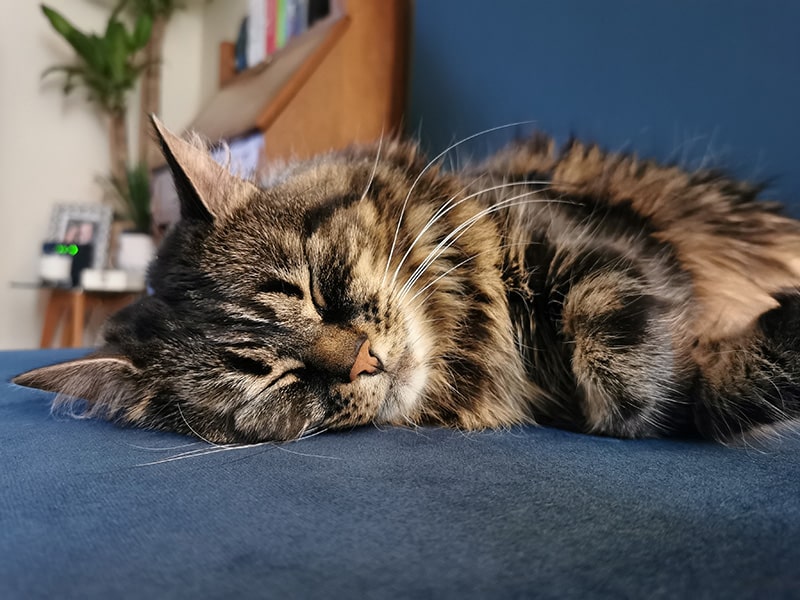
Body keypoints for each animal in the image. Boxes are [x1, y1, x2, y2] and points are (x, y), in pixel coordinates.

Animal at [10, 117, 800, 442]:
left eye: (314, 288)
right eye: (276, 380)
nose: (366, 359)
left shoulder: (569, 233)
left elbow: (625, 351)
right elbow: (666, 399)